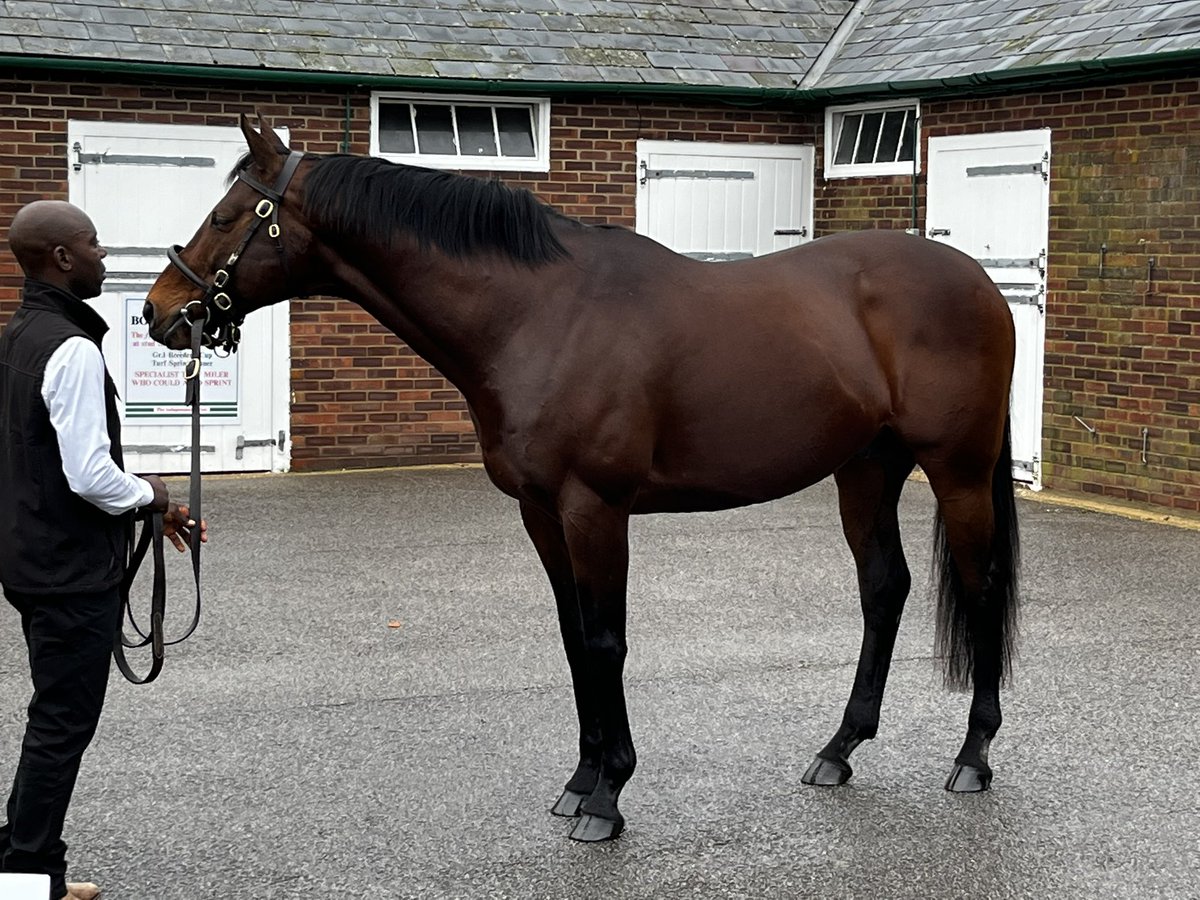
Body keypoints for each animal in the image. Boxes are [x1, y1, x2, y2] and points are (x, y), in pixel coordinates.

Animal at [144, 115, 1020, 843]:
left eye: (227, 217)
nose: (160, 310)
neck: (538, 315)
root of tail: (979, 282)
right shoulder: (541, 513)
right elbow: (572, 640)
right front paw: (580, 779)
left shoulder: (595, 508)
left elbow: (605, 640)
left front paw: (608, 798)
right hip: (864, 471)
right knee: (885, 590)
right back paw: (839, 750)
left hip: (958, 470)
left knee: (979, 590)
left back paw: (972, 758)